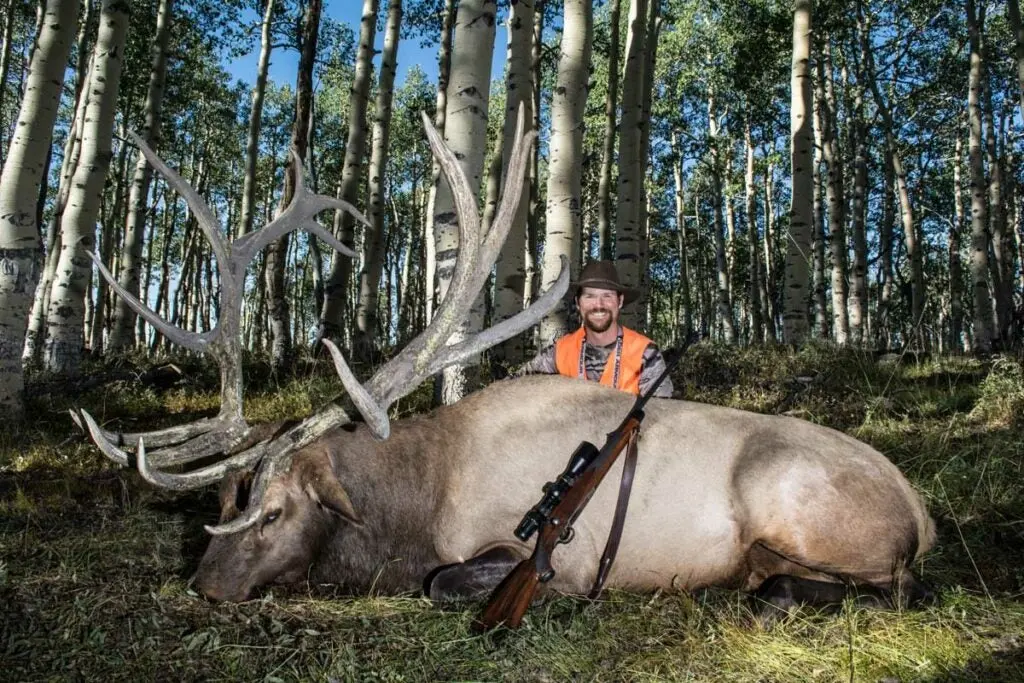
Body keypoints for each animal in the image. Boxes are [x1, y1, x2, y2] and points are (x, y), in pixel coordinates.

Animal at [72, 112, 937, 614]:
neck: (413, 509)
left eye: (276, 510)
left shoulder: (551, 553)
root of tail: (920, 507)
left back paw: (764, 590)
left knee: (891, 586)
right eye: (224, 500)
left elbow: (447, 581)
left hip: (804, 507)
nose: (205, 584)